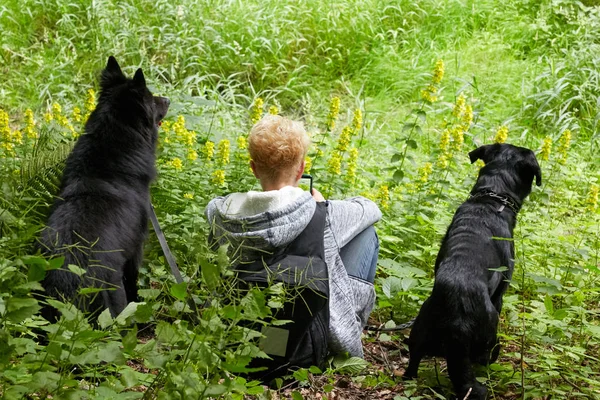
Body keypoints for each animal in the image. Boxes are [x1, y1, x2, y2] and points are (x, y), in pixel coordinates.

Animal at [406, 144, 540, 400]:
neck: (491, 198)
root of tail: (457, 311)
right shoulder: (500, 292)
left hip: (419, 328)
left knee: (412, 364)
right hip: (488, 330)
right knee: (483, 359)